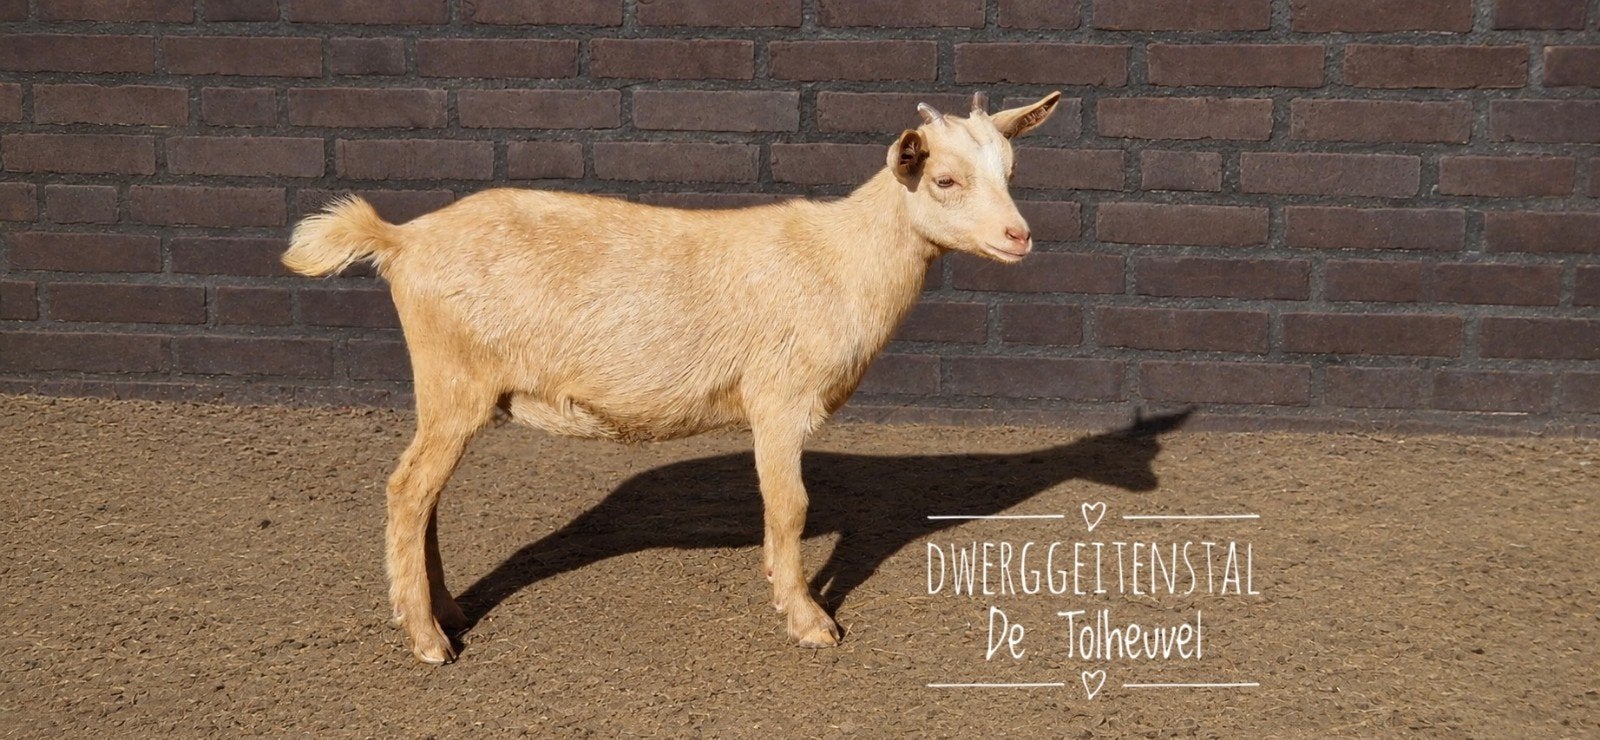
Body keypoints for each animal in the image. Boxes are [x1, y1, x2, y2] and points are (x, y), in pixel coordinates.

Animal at [283, 91, 1063, 664]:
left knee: (426, 497)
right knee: (408, 491)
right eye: (945, 179)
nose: (1020, 237)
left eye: (1012, 172)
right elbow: (791, 507)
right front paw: (809, 619)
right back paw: (427, 640)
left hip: (452, 391)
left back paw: (445, 610)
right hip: (455, 379)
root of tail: (401, 240)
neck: (841, 260)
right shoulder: (779, 398)